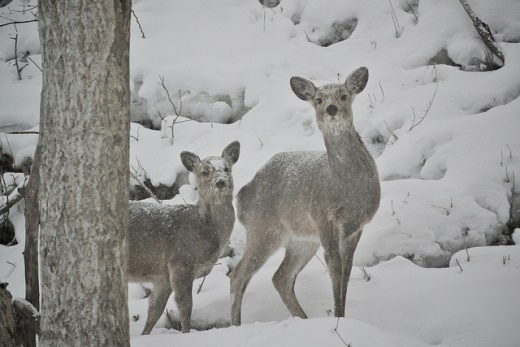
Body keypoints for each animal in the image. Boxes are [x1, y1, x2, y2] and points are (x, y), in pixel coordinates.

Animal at [127, 141, 241, 334]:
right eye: (204, 172)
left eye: (227, 168)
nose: (220, 182)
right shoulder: (180, 262)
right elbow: (185, 306)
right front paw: (185, 333)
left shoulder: (162, 276)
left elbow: (154, 311)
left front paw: (144, 335)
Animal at [230, 67, 380, 326]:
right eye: (318, 99)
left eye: (343, 95)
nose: (331, 109)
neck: (349, 189)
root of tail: (243, 193)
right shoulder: (324, 217)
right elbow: (335, 268)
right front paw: (338, 318)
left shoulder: (357, 225)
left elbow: (347, 271)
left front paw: (343, 317)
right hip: (264, 228)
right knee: (238, 274)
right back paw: (236, 325)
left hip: (302, 239)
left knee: (280, 277)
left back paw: (303, 318)